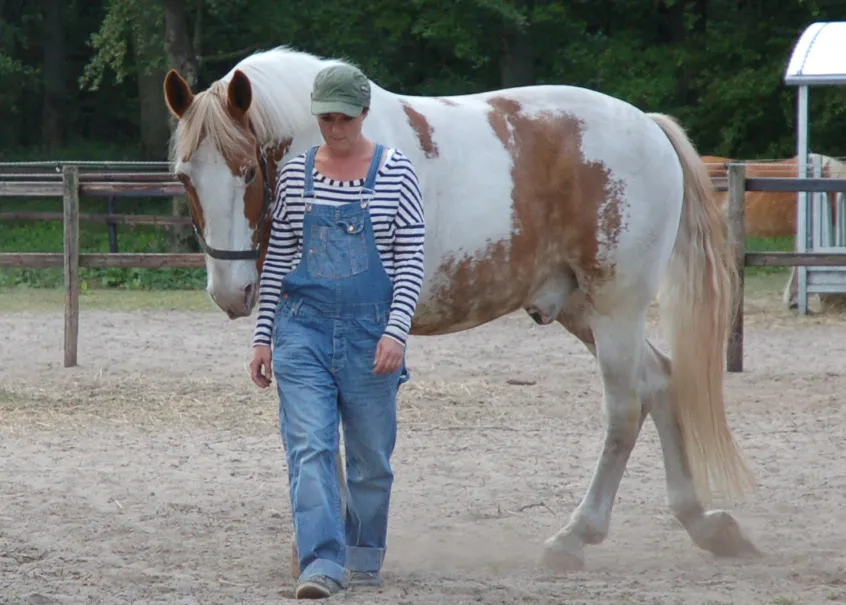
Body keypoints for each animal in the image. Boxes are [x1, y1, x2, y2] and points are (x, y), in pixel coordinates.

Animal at [162, 46, 759, 576]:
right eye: (185, 177)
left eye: (247, 173)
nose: (230, 292)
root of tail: (648, 127)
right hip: (583, 310)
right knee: (660, 382)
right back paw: (702, 522)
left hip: (617, 308)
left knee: (625, 410)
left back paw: (576, 535)